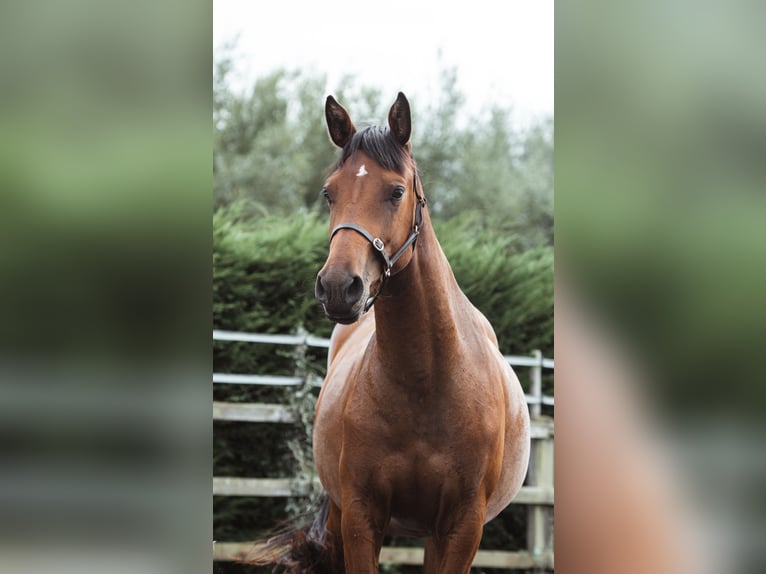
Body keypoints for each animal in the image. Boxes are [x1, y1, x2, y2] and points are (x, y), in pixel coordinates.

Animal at [255, 92, 532, 572]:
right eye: (329, 193)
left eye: (397, 191)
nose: (338, 287)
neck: (427, 382)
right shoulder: (361, 516)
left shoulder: (461, 528)